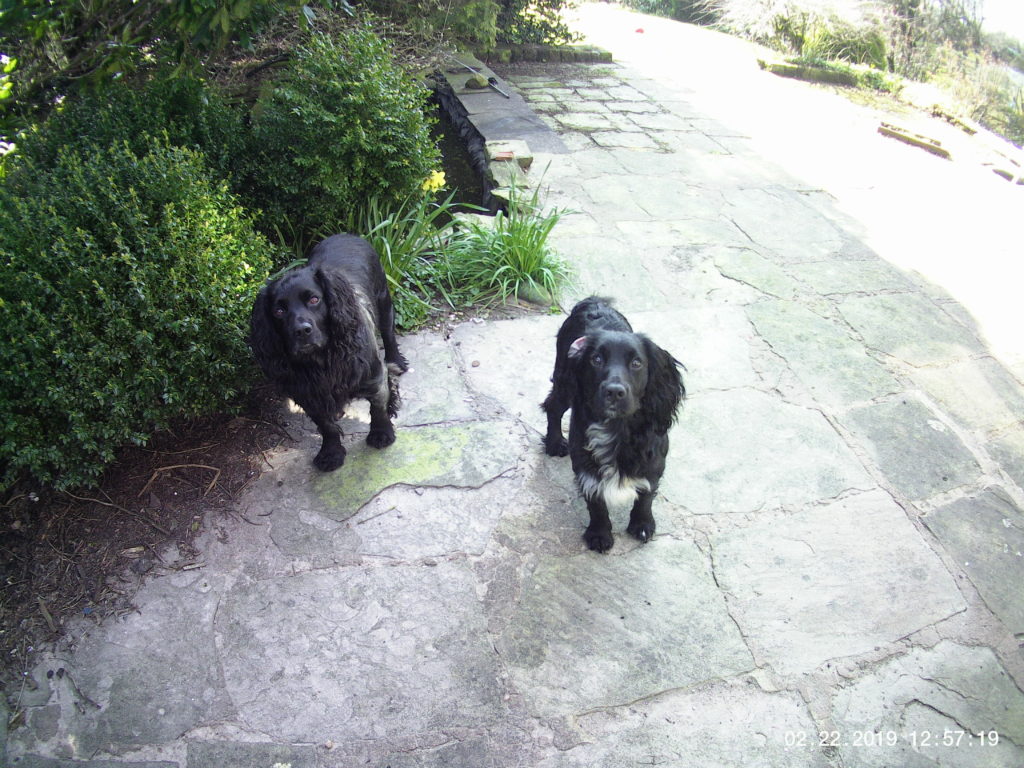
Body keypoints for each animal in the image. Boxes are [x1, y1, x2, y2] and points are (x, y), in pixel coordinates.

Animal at [249, 234, 405, 473]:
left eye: (314, 299)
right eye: (279, 311)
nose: (302, 330)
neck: (322, 360)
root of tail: (345, 235)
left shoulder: (373, 376)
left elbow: (378, 406)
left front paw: (381, 433)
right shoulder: (309, 394)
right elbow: (326, 426)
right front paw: (330, 453)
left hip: (384, 300)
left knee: (389, 335)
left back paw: (397, 362)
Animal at [540, 294, 684, 552]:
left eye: (636, 363)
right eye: (596, 359)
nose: (614, 392)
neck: (619, 427)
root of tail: (593, 302)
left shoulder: (654, 458)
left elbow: (646, 494)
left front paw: (642, 524)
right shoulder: (585, 460)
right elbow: (595, 500)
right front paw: (599, 533)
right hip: (565, 382)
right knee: (553, 406)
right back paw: (555, 442)